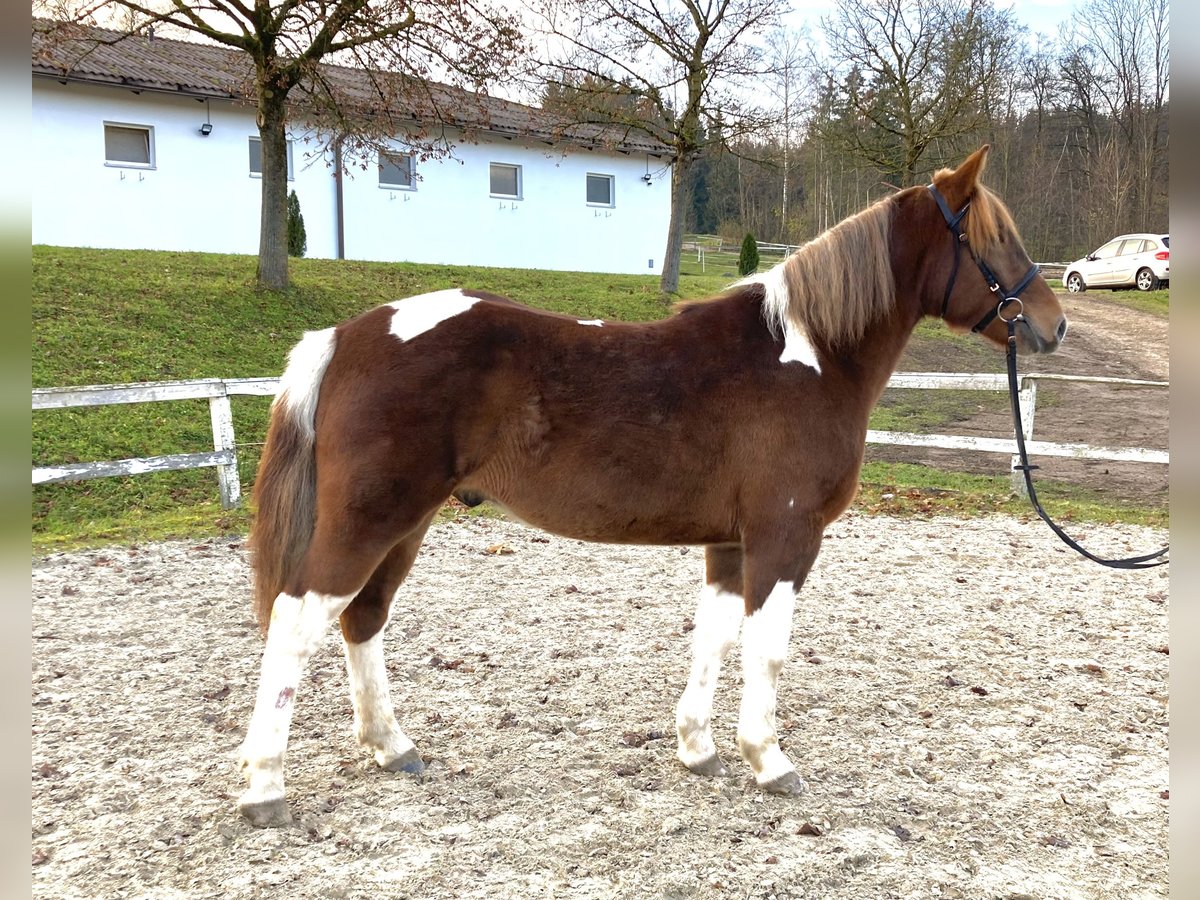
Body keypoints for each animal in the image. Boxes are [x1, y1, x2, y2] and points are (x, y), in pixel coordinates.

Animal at [236, 144, 1070, 830]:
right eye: (996, 239)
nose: (1053, 324)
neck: (806, 355)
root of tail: (345, 338)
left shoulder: (729, 543)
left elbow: (715, 637)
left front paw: (698, 748)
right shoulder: (787, 536)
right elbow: (767, 650)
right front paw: (769, 760)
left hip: (405, 526)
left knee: (362, 619)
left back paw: (390, 745)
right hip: (370, 521)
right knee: (297, 622)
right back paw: (265, 788)